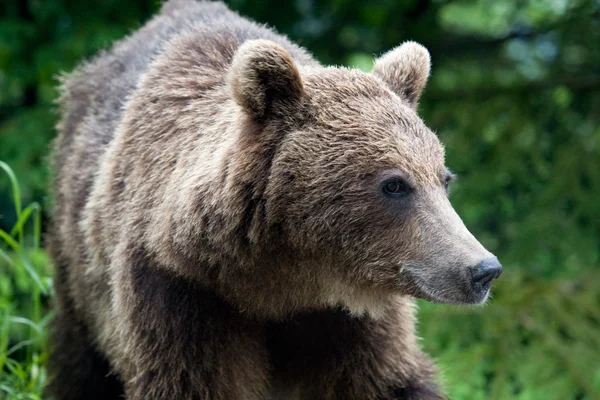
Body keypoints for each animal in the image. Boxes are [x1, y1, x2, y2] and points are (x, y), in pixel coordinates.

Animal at [48, 1, 502, 398]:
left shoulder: (347, 321)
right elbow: (192, 381)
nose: (483, 269)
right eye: (394, 184)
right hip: (77, 271)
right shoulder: (181, 295)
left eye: (443, 179)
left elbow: (387, 381)